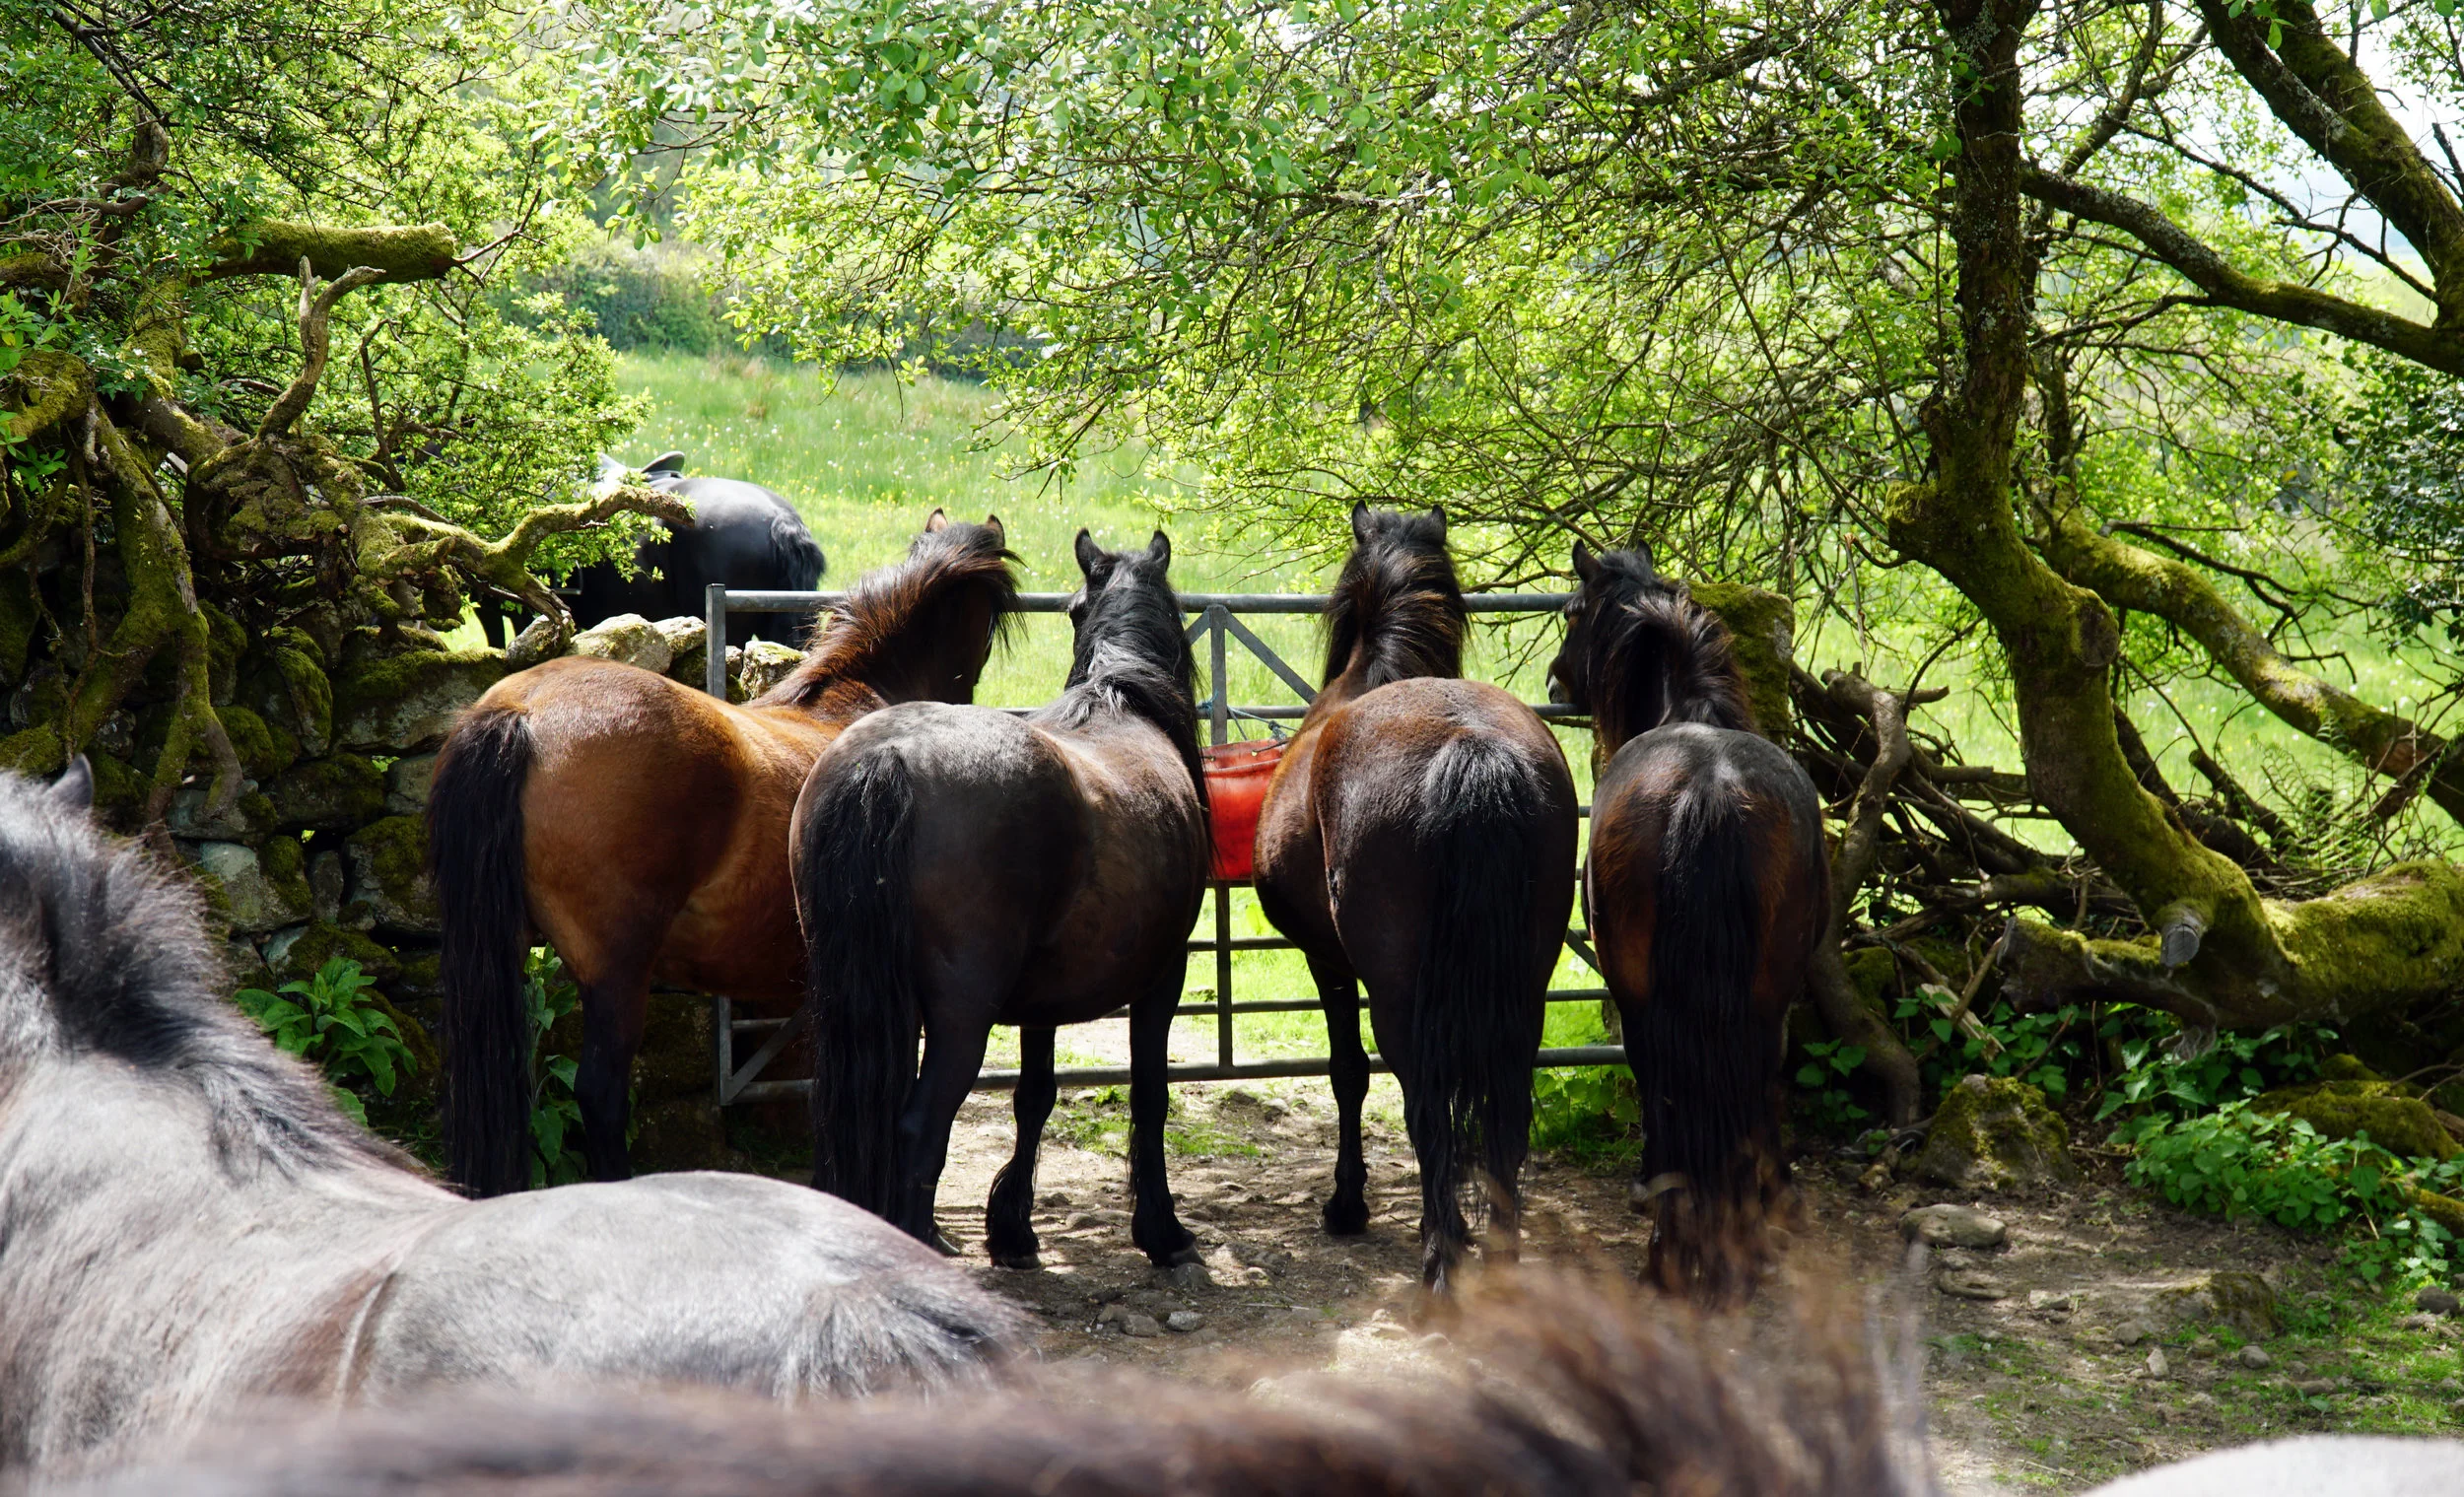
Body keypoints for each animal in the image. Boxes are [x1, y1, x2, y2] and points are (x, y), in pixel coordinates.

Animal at [793, 530, 1207, 1269]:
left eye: (1072, 609)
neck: (1123, 701)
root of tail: (886, 759)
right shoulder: (1165, 975)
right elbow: (1150, 1096)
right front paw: (1162, 1231)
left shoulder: (1046, 998)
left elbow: (1034, 1097)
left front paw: (1012, 1229)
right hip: (962, 1018)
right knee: (919, 1125)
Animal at [1251, 503, 1578, 1293]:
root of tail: (1473, 748)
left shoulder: (1327, 962)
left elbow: (1347, 1074)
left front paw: (1346, 1204)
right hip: (1526, 981)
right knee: (1507, 1097)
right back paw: (1498, 1258)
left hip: (1401, 993)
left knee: (1425, 1097)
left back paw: (1442, 1259)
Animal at [1545, 541, 1828, 1300]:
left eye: (1572, 612)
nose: (1554, 682)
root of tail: (1709, 788)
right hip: (1761, 991)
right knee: (1748, 1081)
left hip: (1646, 995)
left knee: (1676, 1083)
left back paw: (1677, 1246)